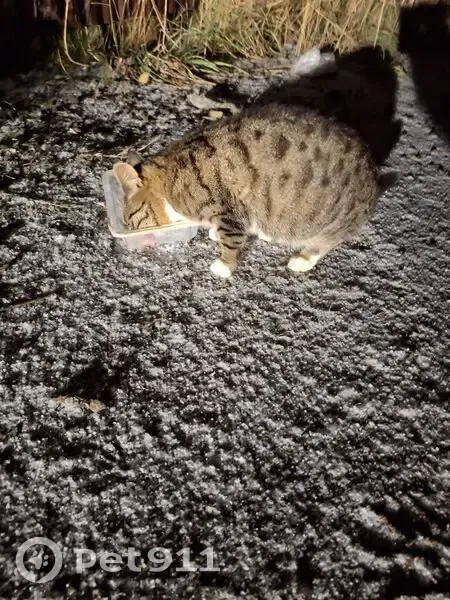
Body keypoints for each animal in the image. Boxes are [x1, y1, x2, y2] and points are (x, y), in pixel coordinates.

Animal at [113, 103, 385, 278]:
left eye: (132, 222)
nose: (138, 242)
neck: (171, 179)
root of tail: (374, 179)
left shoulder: (225, 208)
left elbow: (231, 239)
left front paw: (224, 265)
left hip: (332, 221)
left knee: (328, 240)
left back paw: (304, 258)